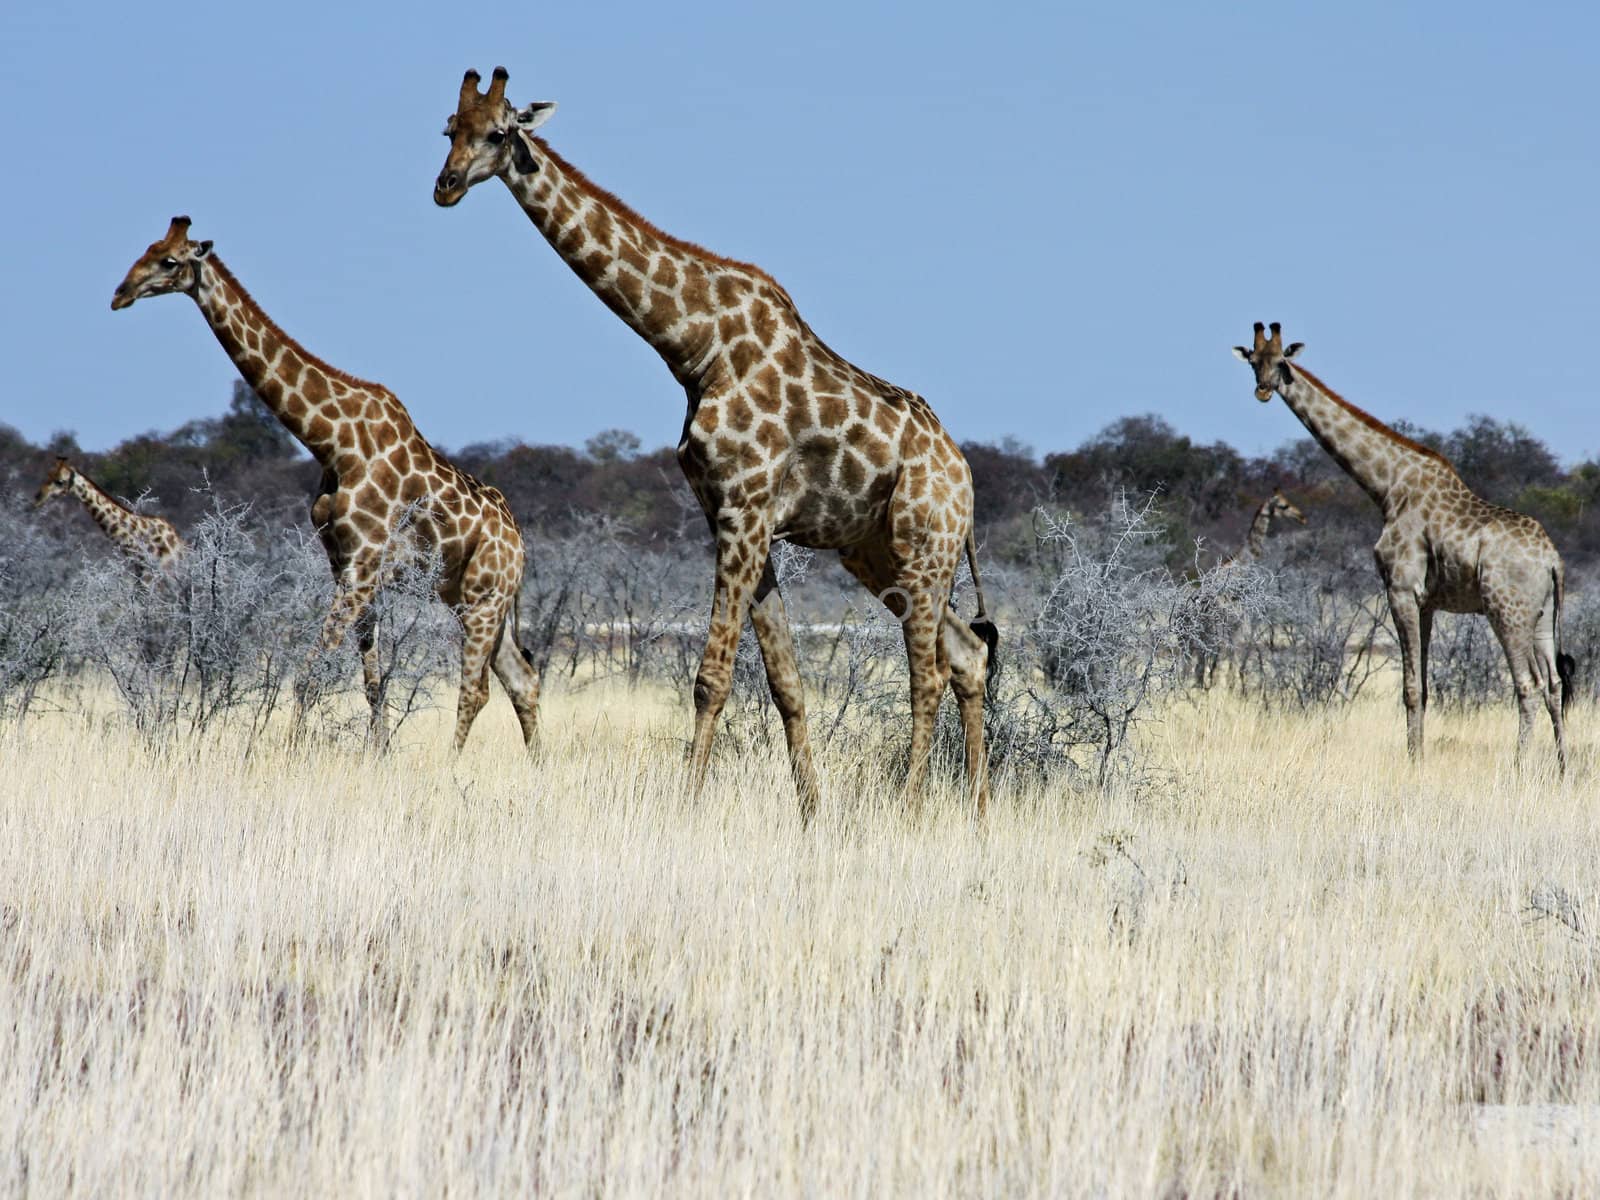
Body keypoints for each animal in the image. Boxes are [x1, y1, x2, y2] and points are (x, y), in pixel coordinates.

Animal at [111, 216, 544, 752]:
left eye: (169, 261)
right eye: (146, 249)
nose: (120, 293)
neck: (332, 442)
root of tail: (519, 545)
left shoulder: (363, 564)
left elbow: (311, 675)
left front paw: (293, 754)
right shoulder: (345, 566)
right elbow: (373, 682)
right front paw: (379, 755)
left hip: (486, 597)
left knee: (478, 687)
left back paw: (453, 763)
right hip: (470, 596)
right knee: (522, 678)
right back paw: (537, 764)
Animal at [432, 63, 992, 819]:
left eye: (497, 133)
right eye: (447, 130)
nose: (446, 185)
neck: (694, 347)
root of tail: (963, 476)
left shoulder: (745, 508)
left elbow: (712, 677)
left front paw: (687, 808)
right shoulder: (730, 514)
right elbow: (785, 683)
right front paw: (810, 814)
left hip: (923, 545)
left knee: (927, 673)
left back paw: (910, 808)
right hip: (872, 551)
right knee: (966, 655)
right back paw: (979, 812)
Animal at [1228, 321, 1568, 771]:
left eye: (1282, 361)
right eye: (1254, 361)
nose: (1264, 390)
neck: (1387, 487)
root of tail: (1553, 560)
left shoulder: (1400, 589)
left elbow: (1408, 688)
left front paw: (1413, 762)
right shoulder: (1425, 601)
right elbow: (1421, 687)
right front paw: (1417, 755)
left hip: (1507, 612)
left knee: (1527, 684)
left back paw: (1517, 767)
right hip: (1543, 615)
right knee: (1554, 683)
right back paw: (1563, 768)